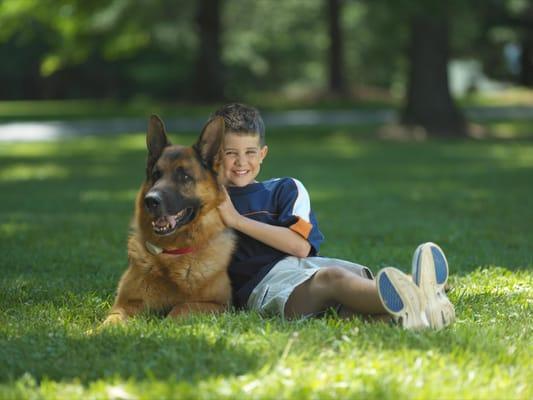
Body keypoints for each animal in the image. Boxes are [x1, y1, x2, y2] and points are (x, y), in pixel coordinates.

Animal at [103, 114, 236, 326]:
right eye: (156, 175)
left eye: (184, 176)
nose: (151, 200)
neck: (172, 254)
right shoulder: (125, 303)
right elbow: (111, 320)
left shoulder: (220, 306)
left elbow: (181, 307)